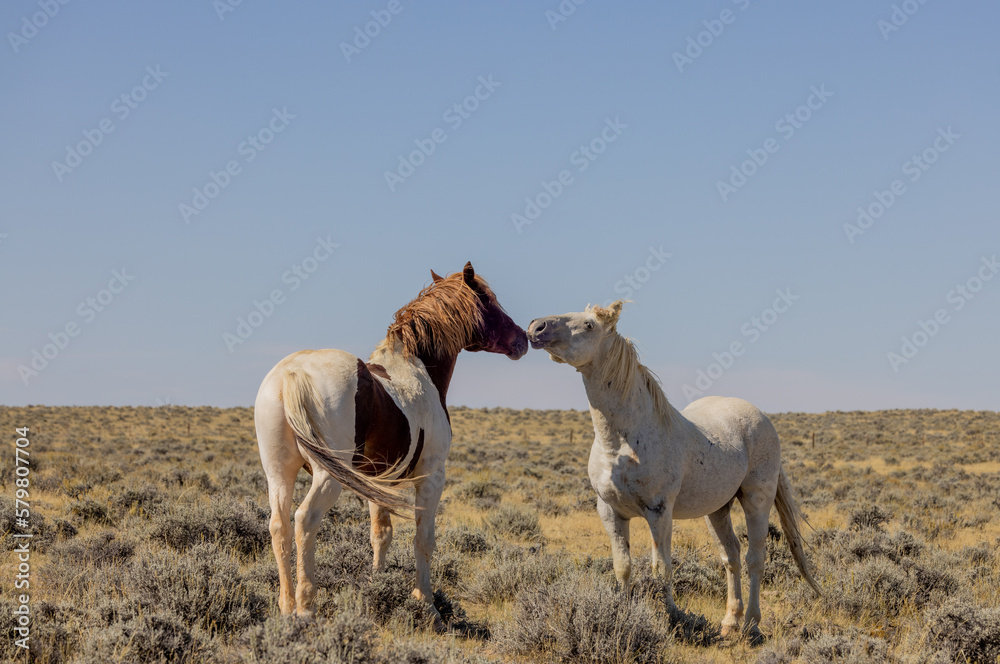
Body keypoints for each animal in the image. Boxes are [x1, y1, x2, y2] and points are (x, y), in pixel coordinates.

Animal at [254, 262, 527, 623]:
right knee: (305, 520)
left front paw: (377, 587)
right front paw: (427, 604)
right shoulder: (431, 477)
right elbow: (423, 540)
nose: (523, 339)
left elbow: (381, 534)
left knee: (279, 527)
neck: (418, 368)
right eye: (489, 301)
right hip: (328, 478)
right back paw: (306, 607)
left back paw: (286, 608)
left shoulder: (377, 481)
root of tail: (292, 372)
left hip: (278, 474)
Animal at [526, 300, 819, 638]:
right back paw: (730, 621)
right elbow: (622, 566)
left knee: (755, 558)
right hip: (717, 509)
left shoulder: (658, 512)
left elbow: (661, 568)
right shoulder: (610, 512)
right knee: (731, 556)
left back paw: (750, 625)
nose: (536, 327)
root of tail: (761, 417)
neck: (621, 442)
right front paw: (622, 616)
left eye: (589, 325)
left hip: (757, 500)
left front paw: (669, 619)